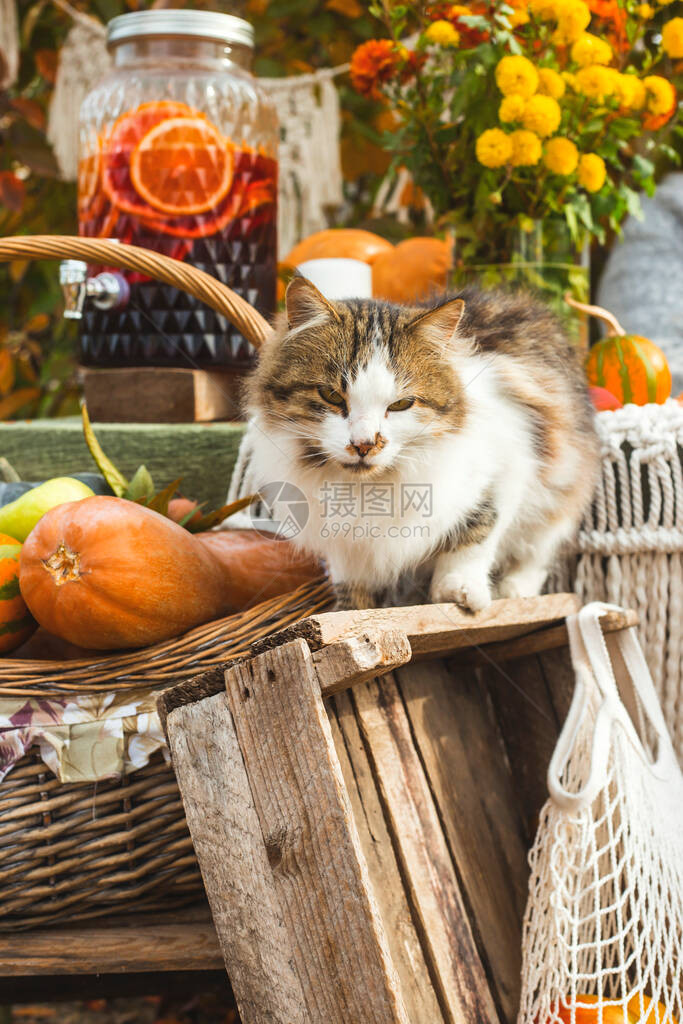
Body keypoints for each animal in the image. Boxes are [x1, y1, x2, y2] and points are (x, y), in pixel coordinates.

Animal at [245, 274, 598, 606]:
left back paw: (514, 591)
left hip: (558, 491)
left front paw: (459, 590)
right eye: (331, 395)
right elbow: (351, 577)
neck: (367, 488)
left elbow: (476, 535)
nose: (364, 444)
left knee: (535, 555)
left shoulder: (505, 469)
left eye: (401, 404)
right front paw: (352, 608)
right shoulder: (344, 541)